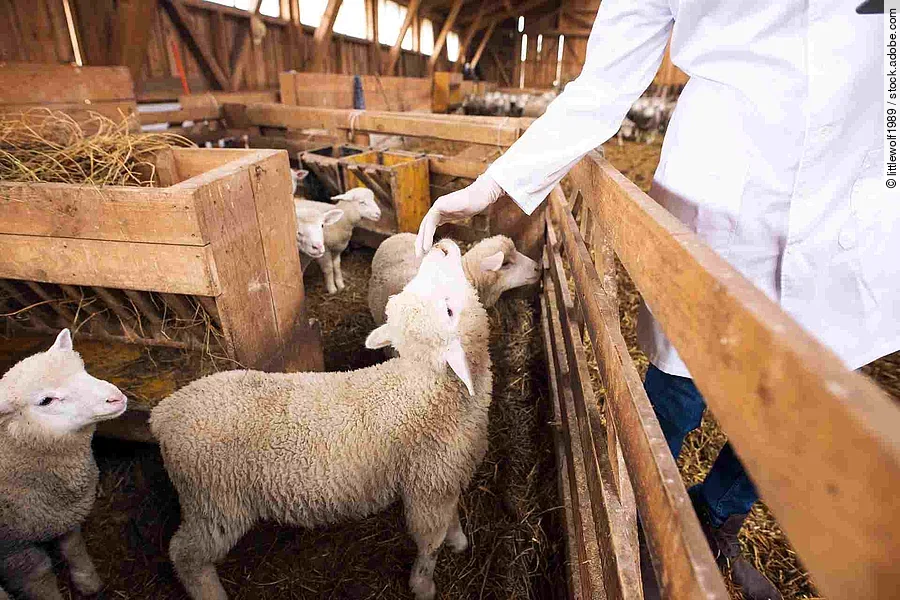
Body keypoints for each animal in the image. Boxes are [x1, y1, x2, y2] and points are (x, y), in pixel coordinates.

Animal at [0, 329, 127, 600]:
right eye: (46, 400)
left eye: (83, 369)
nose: (115, 398)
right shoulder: (13, 548)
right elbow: (39, 576)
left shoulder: (64, 515)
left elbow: (73, 547)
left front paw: (88, 581)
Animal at [150, 239, 492, 600]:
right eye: (449, 311)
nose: (441, 247)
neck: (428, 384)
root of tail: (165, 411)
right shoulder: (428, 485)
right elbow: (430, 543)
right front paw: (423, 585)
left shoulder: (447, 476)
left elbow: (451, 516)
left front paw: (458, 540)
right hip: (215, 501)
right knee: (185, 555)